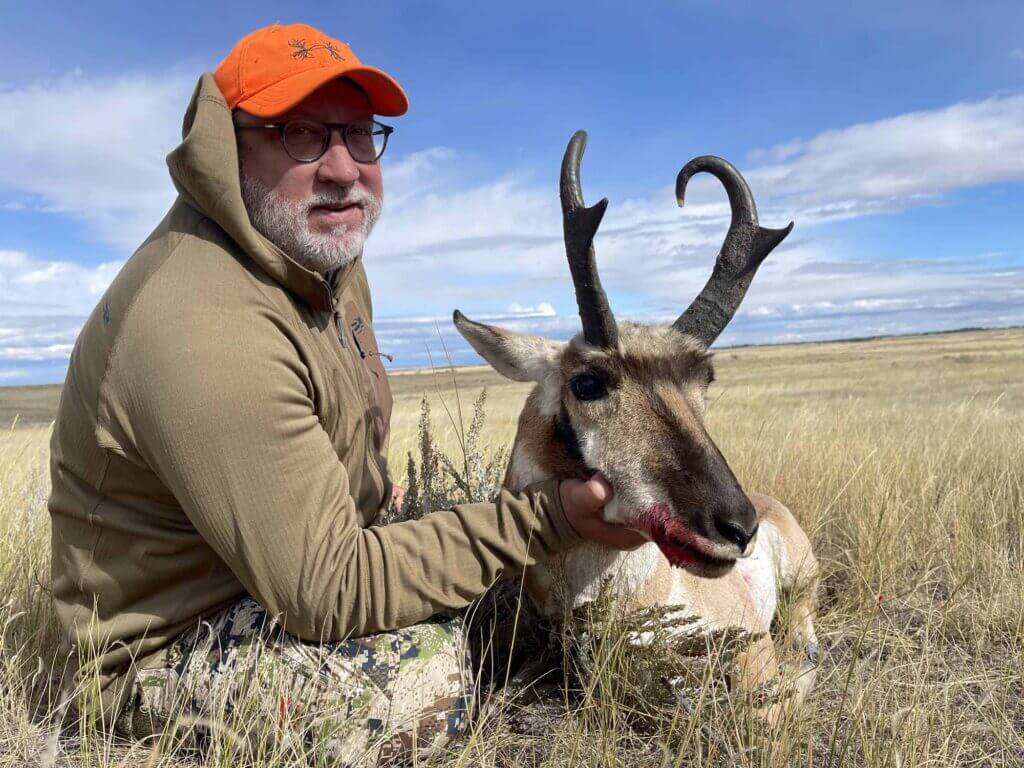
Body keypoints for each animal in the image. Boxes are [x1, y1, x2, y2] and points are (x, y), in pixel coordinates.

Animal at [453, 131, 820, 717]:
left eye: (705, 378)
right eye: (587, 383)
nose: (738, 530)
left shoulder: (752, 645)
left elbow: (768, 704)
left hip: (802, 581)